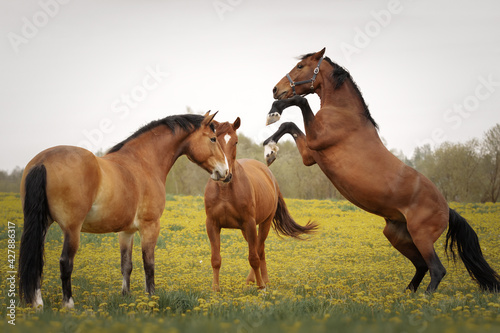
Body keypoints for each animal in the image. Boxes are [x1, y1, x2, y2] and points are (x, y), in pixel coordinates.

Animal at [19, 112, 230, 308]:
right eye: (213, 138)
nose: (226, 172)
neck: (143, 162)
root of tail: (42, 162)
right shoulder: (150, 226)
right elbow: (148, 264)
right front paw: (151, 298)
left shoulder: (126, 231)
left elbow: (126, 265)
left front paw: (125, 296)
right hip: (72, 230)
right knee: (65, 263)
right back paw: (68, 304)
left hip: (43, 224)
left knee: (37, 260)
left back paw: (38, 304)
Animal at [204, 116, 316, 290]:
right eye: (215, 140)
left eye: (235, 142)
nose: (225, 173)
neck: (225, 191)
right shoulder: (213, 225)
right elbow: (216, 259)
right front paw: (215, 289)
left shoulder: (249, 223)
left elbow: (253, 257)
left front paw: (261, 287)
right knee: (259, 249)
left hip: (264, 223)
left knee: (259, 249)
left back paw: (262, 281)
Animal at [264, 48, 498, 292]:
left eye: (300, 66)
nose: (276, 90)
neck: (343, 112)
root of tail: (447, 209)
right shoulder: (310, 155)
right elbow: (288, 125)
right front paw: (269, 149)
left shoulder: (316, 140)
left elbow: (299, 102)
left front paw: (274, 114)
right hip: (398, 236)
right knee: (421, 266)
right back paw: (406, 295)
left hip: (422, 237)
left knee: (436, 269)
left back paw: (423, 297)